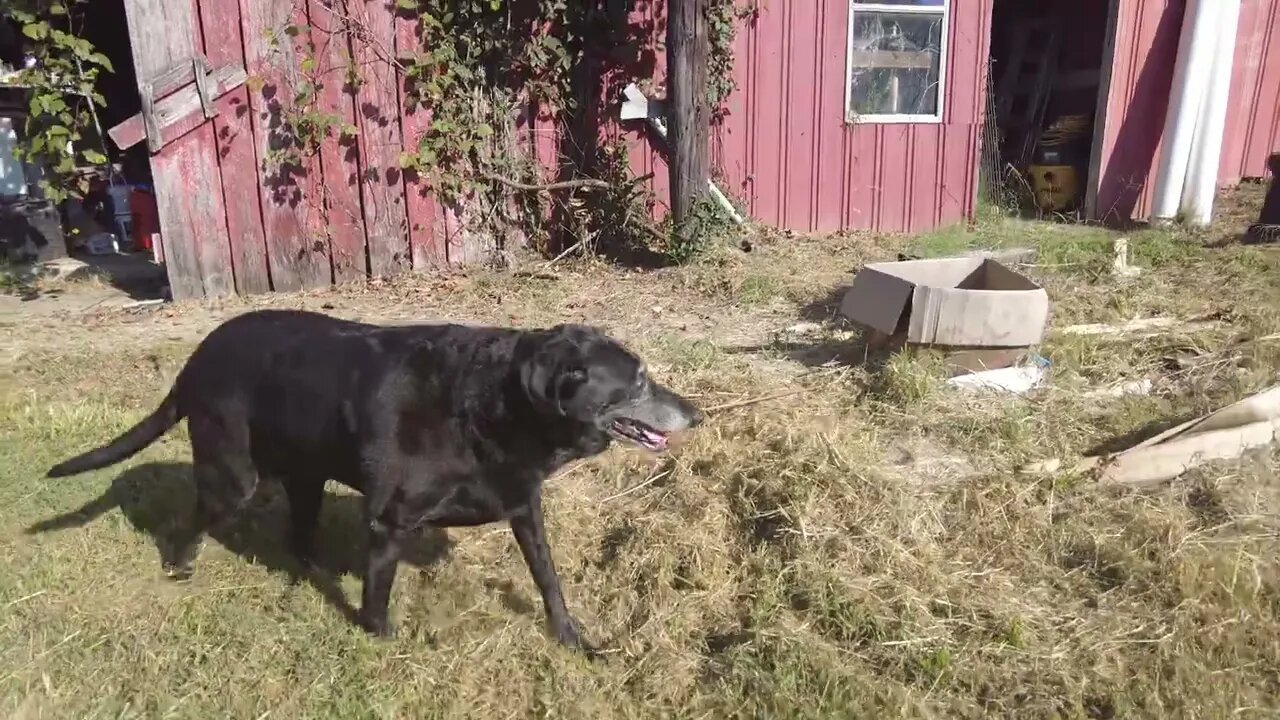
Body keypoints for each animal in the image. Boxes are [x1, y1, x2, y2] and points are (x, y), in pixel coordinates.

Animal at [45, 307, 701, 645]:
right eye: (638, 382)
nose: (696, 413)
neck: (494, 404)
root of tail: (193, 361)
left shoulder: (523, 508)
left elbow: (549, 580)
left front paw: (571, 638)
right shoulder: (389, 520)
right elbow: (378, 597)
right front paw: (380, 642)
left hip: (305, 472)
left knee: (298, 531)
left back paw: (306, 574)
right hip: (234, 475)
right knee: (196, 517)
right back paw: (180, 570)